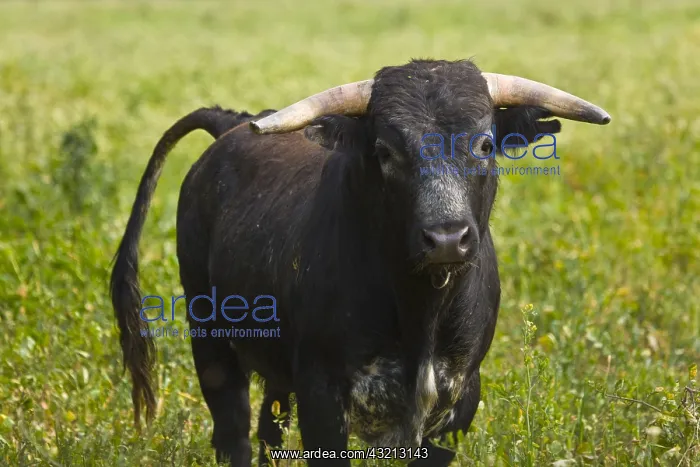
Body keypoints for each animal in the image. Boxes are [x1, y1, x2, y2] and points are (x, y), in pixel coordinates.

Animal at [110, 58, 610, 466]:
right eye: (386, 152)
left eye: (485, 145)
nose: (447, 238)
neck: (419, 309)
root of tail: (232, 126)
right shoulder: (322, 398)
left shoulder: (459, 402)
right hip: (210, 340)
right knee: (233, 434)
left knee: (269, 428)